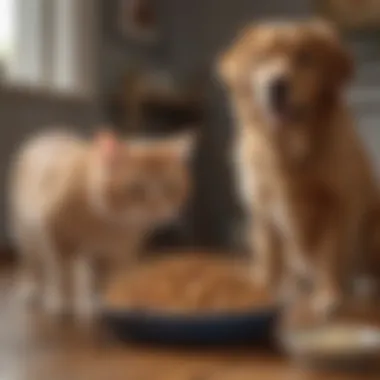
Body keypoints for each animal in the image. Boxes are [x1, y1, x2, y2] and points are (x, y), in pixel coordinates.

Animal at [9, 129, 193, 320]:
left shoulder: (121, 253)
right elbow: (68, 275)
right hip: (28, 239)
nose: (158, 209)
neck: (110, 223)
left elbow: (117, 279)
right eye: (136, 188)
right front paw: (73, 305)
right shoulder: (63, 241)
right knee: (40, 267)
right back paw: (41, 291)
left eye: (169, 187)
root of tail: (50, 134)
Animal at [217, 20, 380, 318]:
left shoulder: (337, 204)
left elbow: (330, 256)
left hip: (374, 230)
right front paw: (261, 291)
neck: (287, 148)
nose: (276, 85)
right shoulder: (261, 210)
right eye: (262, 58)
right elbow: (270, 259)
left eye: (305, 57)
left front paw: (329, 295)